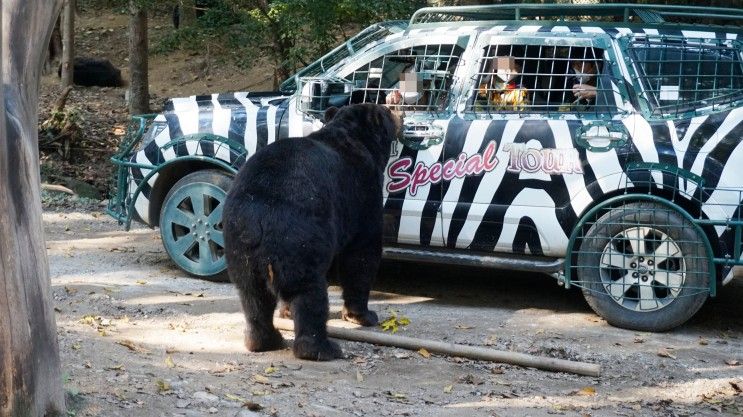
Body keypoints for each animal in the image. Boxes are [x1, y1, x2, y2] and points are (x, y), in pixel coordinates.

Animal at [224, 102, 402, 360]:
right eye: (387, 111)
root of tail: (258, 217)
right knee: (309, 292)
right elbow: (362, 254)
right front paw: (364, 315)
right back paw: (322, 348)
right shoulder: (361, 193)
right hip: (299, 238)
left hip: (239, 247)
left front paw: (286, 312)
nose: (399, 114)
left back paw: (265, 340)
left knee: (253, 295)